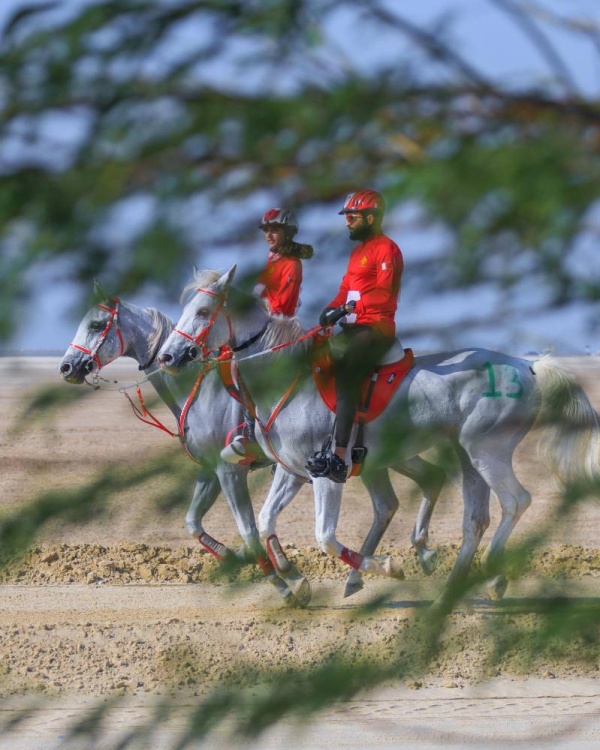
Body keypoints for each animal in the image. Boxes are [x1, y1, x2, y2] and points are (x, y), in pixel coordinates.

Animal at [158, 268, 600, 612]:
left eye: (202, 312)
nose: (168, 356)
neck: (287, 378)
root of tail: (528, 365)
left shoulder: (324, 476)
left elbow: (324, 537)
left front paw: (388, 567)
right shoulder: (293, 472)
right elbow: (266, 521)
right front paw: (293, 578)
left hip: (486, 452)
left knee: (515, 501)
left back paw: (493, 577)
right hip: (463, 456)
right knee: (474, 519)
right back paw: (448, 595)